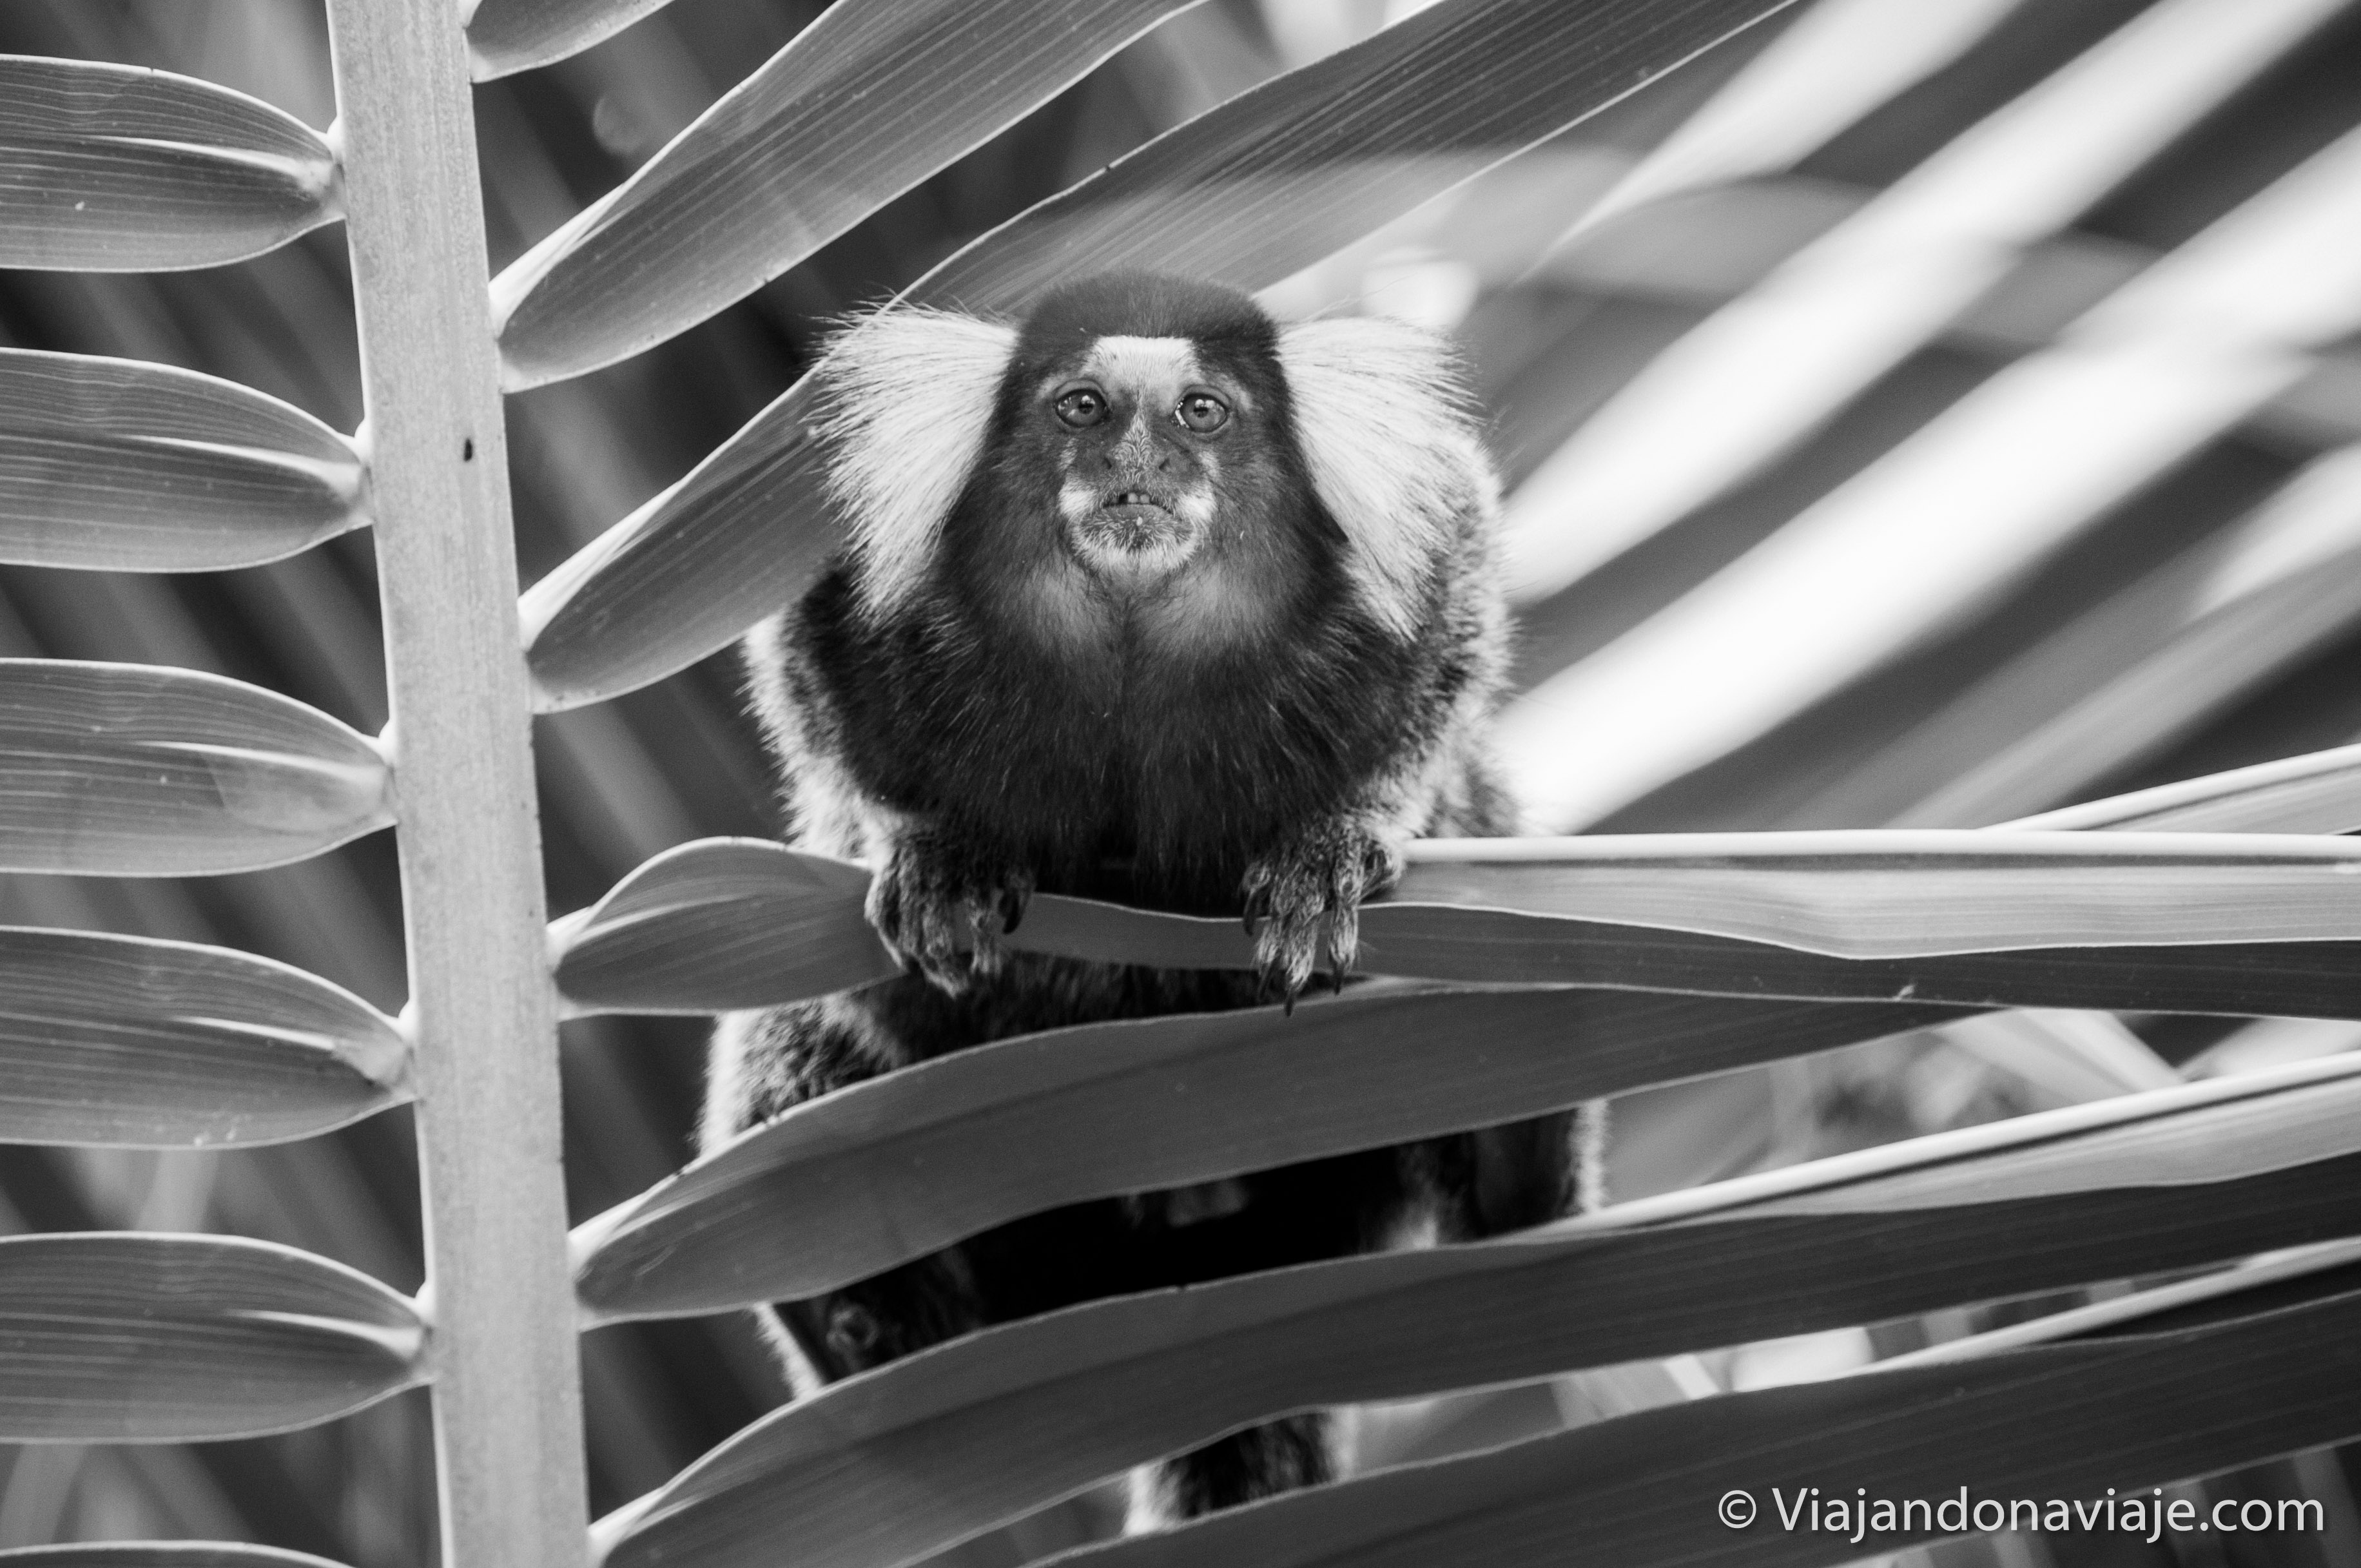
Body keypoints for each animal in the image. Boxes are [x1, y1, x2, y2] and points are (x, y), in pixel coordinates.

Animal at [704, 270, 1593, 1531]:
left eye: (1200, 412)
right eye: (1081, 407)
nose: (1140, 461)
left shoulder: (1409, 566)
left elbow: (1441, 681)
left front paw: (1339, 841)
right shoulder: (862, 581)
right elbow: (817, 718)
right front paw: (932, 850)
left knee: (1497, 1193)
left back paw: (1514, 1142)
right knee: (798, 1071)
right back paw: (876, 1322)